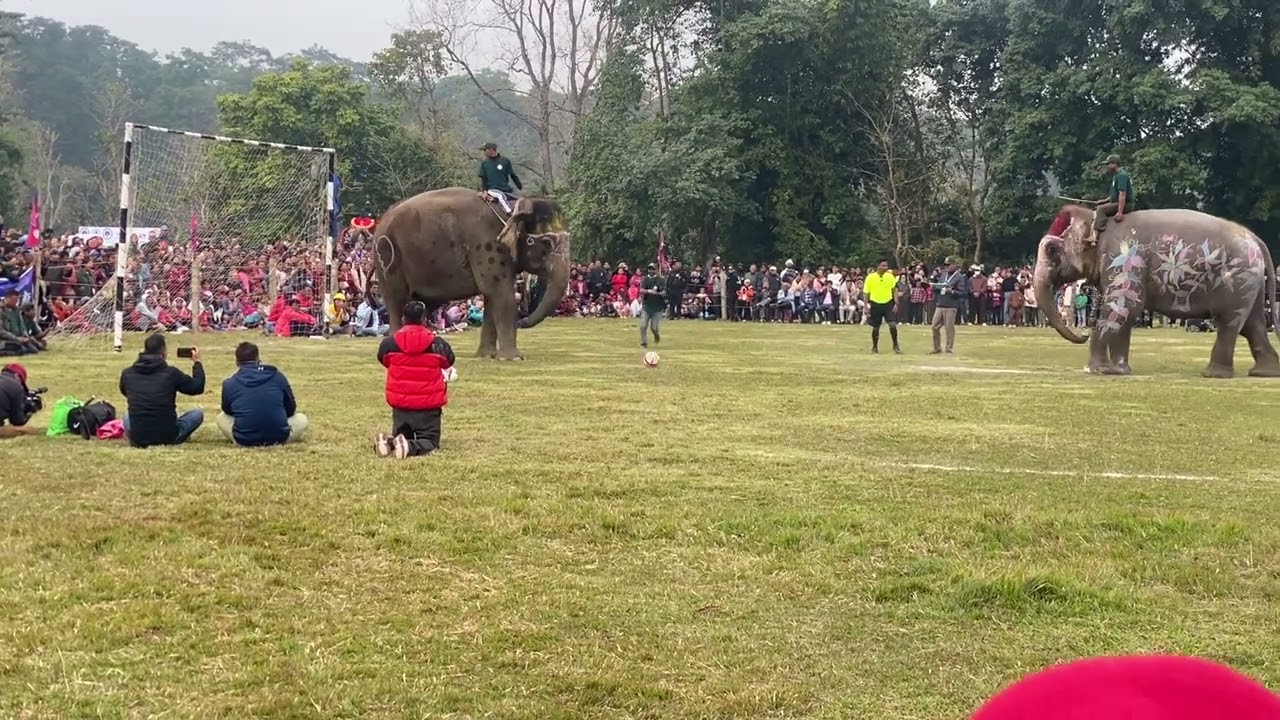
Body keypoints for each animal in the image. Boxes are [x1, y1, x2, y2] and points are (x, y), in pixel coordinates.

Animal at [372, 187, 570, 360]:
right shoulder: (487, 246)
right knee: (396, 301)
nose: (523, 322)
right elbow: (502, 294)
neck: (512, 208)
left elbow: (491, 298)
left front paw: (487, 356)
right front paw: (514, 358)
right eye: (546, 243)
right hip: (388, 258)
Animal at [1033, 204, 1280, 378]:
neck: (1097, 221)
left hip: (1237, 279)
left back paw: (1213, 374)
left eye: (1052, 249)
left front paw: (1097, 370)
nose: (1082, 334)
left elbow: (1123, 308)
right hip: (1251, 283)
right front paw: (1119, 370)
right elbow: (1123, 311)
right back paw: (1264, 373)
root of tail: (1255, 239)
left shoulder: (1126, 257)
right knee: (1253, 324)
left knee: (1229, 322)